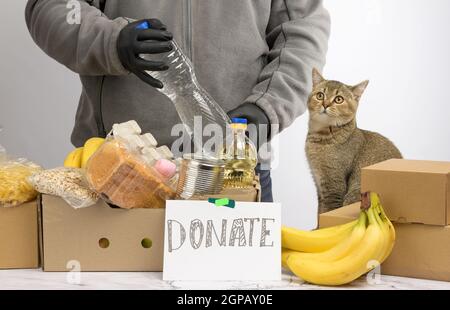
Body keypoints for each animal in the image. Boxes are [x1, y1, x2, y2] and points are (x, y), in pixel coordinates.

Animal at [306, 68, 400, 214]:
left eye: (339, 99)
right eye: (320, 95)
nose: (325, 104)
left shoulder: (333, 186)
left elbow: (327, 211)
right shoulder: (319, 184)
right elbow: (320, 212)